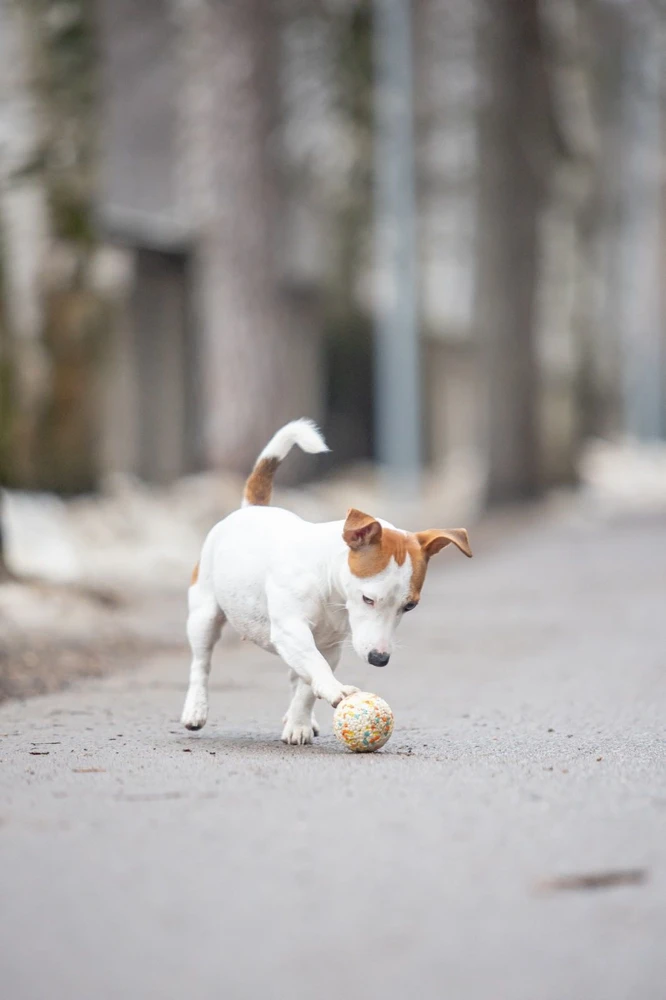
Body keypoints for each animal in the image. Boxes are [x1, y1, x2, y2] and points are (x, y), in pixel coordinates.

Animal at [180, 420, 472, 744]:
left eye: (409, 607)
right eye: (368, 599)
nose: (379, 659)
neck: (329, 587)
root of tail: (252, 508)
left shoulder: (331, 645)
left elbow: (307, 687)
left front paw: (299, 723)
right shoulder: (291, 629)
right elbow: (313, 664)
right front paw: (335, 691)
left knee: (296, 676)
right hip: (204, 614)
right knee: (201, 663)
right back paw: (195, 709)